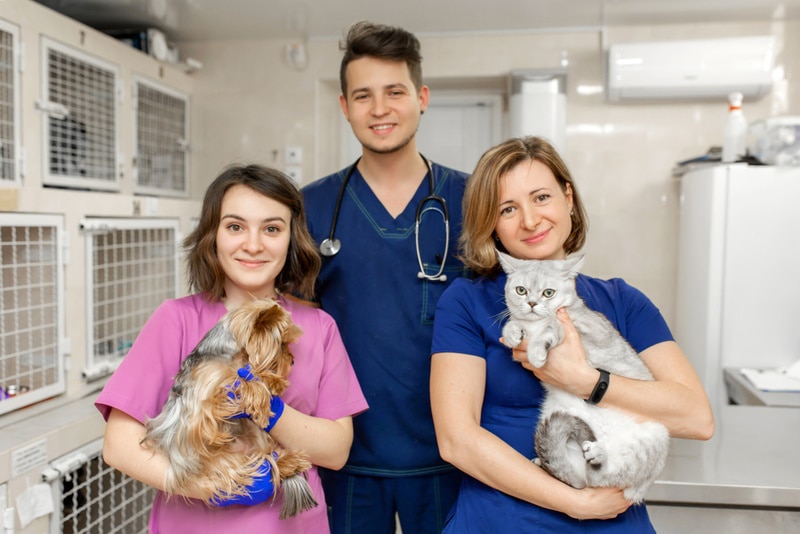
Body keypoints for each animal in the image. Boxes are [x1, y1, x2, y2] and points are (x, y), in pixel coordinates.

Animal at [500, 253, 668, 504]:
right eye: (521, 290)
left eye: (548, 293)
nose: (531, 303)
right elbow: (514, 322)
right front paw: (512, 333)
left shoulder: (591, 329)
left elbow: (553, 324)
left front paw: (537, 350)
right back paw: (545, 462)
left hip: (655, 439)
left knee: (602, 478)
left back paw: (598, 456)